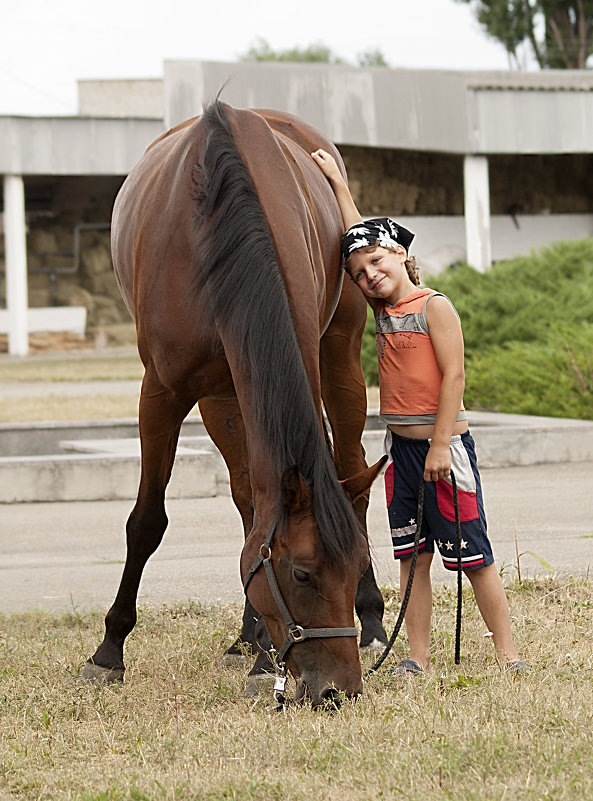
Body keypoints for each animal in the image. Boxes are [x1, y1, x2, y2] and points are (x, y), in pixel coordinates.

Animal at [81, 100, 386, 708]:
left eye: (356, 564)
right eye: (302, 574)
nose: (339, 692)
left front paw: (269, 656)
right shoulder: (164, 392)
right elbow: (147, 522)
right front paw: (109, 651)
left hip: (335, 358)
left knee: (349, 472)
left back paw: (363, 624)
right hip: (223, 399)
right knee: (249, 501)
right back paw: (248, 639)